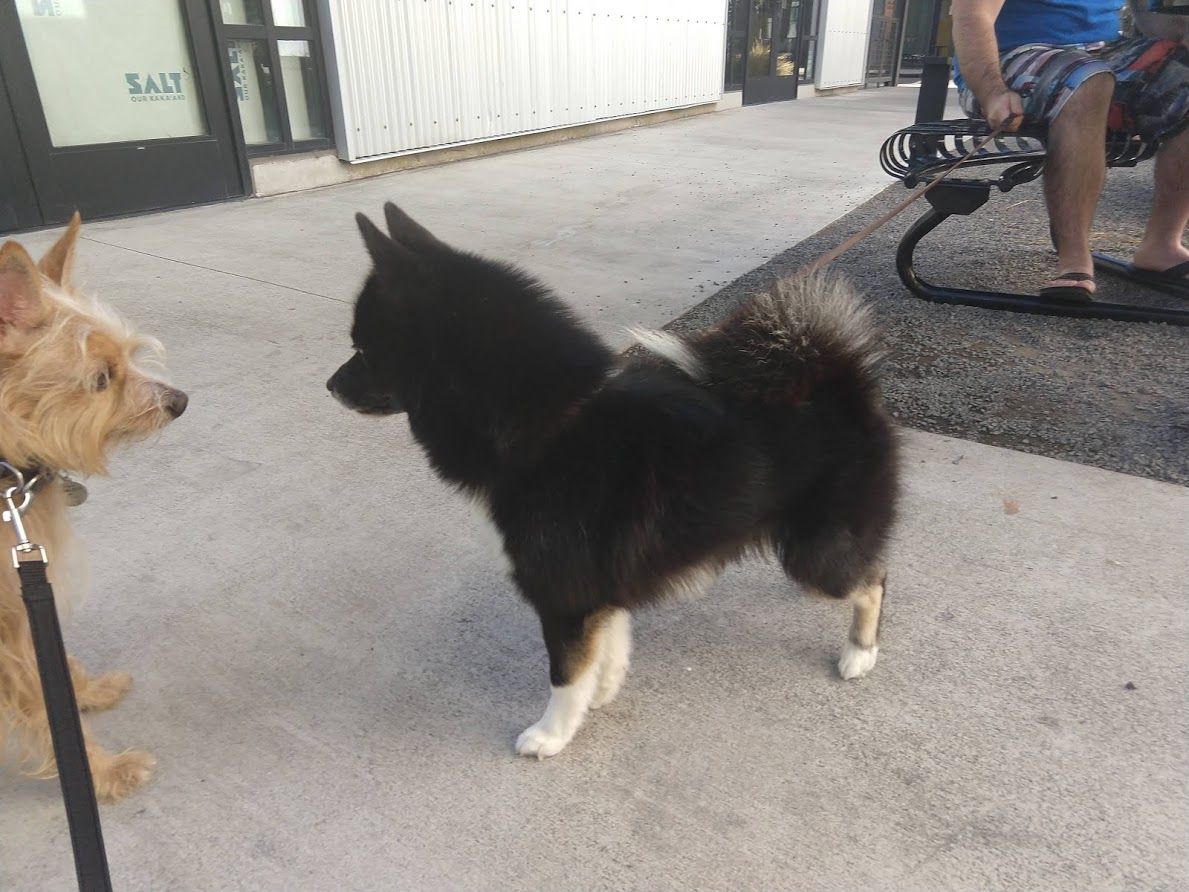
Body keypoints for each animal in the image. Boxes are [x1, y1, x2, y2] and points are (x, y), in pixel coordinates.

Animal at [0, 215, 185, 803]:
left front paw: (85, 690)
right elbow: (44, 704)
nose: (179, 402)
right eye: (101, 378)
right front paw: (103, 773)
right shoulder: (4, 629)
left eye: (127, 356)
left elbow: (53, 663)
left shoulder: (24, 597)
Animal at [330, 204, 894, 761]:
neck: (547, 425)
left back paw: (860, 652)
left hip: (816, 555)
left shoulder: (563, 592)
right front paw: (600, 692)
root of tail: (842, 384)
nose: (329, 385)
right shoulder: (601, 584)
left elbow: (564, 672)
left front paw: (553, 733)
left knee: (873, 580)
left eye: (363, 348)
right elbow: (609, 644)